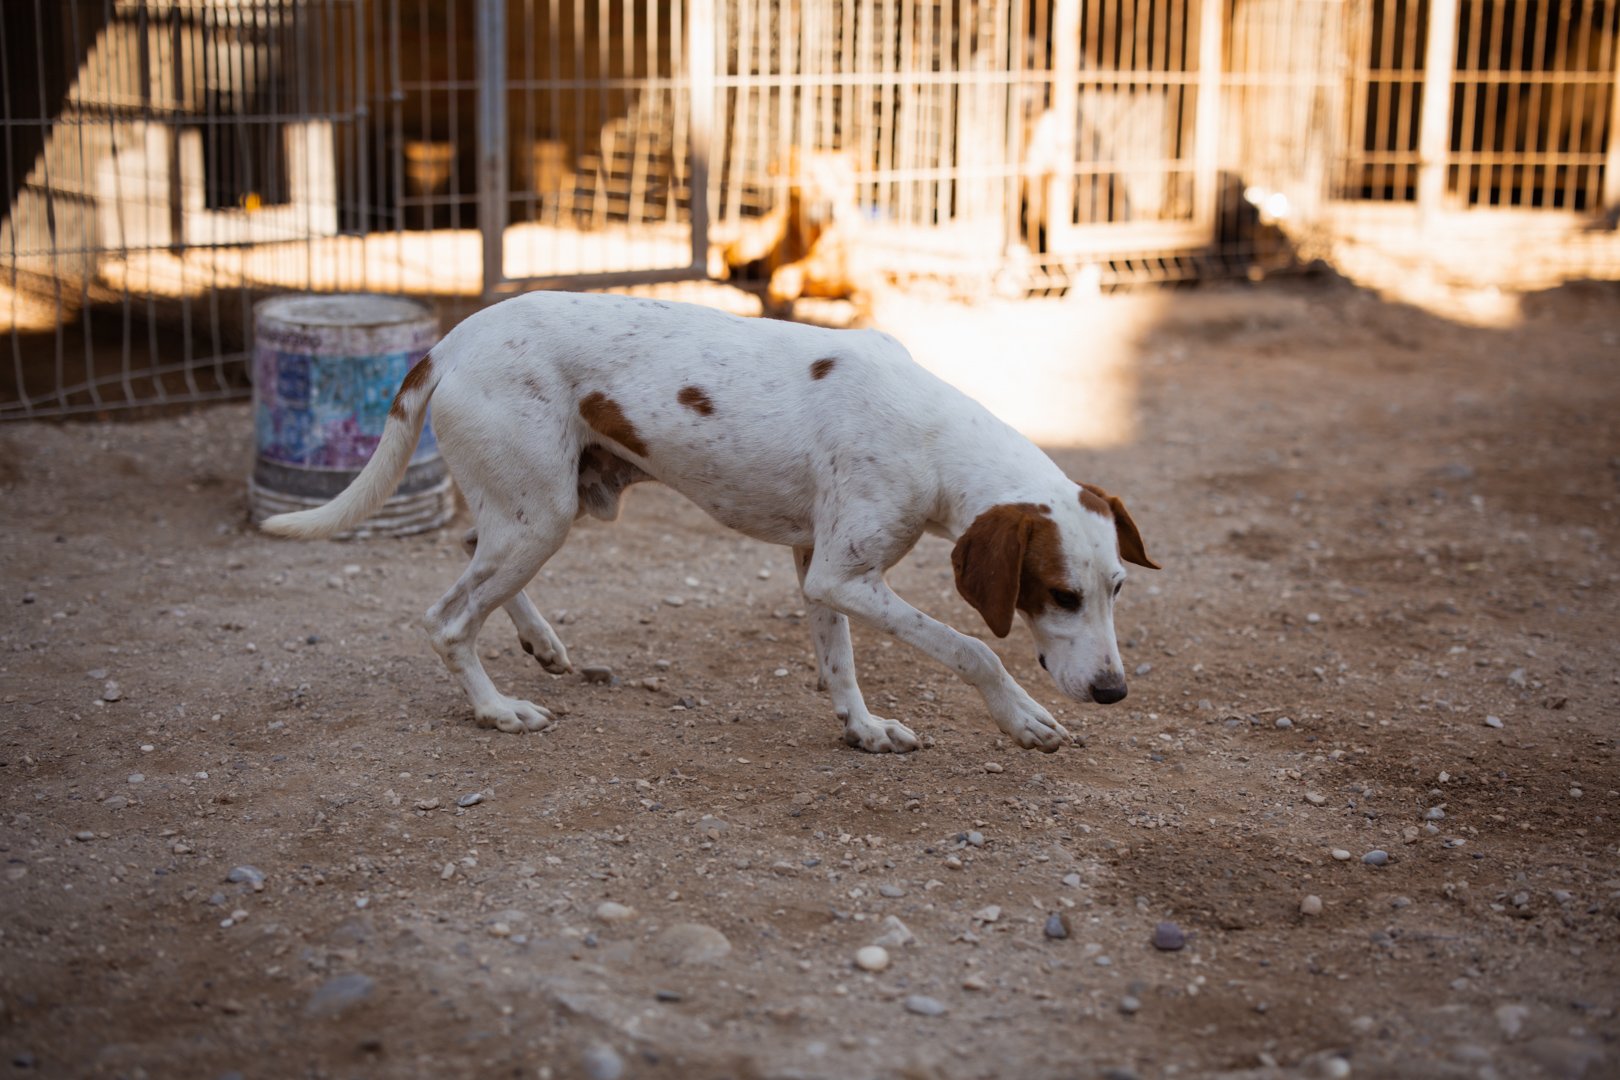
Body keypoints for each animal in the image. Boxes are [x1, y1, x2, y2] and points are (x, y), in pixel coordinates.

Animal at [261, 292, 1159, 753]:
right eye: (1060, 595)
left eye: (1119, 587)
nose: (1113, 693)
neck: (933, 436)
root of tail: (447, 343)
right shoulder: (847, 573)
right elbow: (973, 649)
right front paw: (1023, 718)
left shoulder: (818, 569)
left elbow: (838, 662)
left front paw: (862, 728)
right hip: (539, 517)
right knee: (448, 618)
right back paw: (496, 709)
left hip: (532, 511)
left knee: (474, 554)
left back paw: (540, 643)